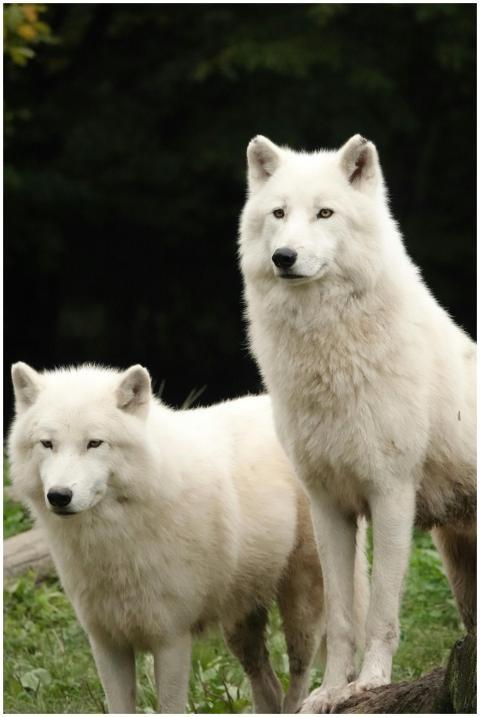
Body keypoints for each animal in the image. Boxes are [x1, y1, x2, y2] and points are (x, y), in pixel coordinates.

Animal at [8, 362, 369, 714]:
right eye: (47, 444)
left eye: (94, 443)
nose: (59, 496)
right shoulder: (107, 643)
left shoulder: (171, 641)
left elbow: (170, 706)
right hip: (238, 626)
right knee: (268, 687)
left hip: (301, 608)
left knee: (298, 678)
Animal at [238, 134, 476, 712]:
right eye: (279, 213)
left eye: (325, 213)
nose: (284, 257)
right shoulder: (329, 505)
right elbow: (343, 619)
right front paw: (328, 692)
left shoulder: (391, 495)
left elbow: (382, 611)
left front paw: (369, 682)